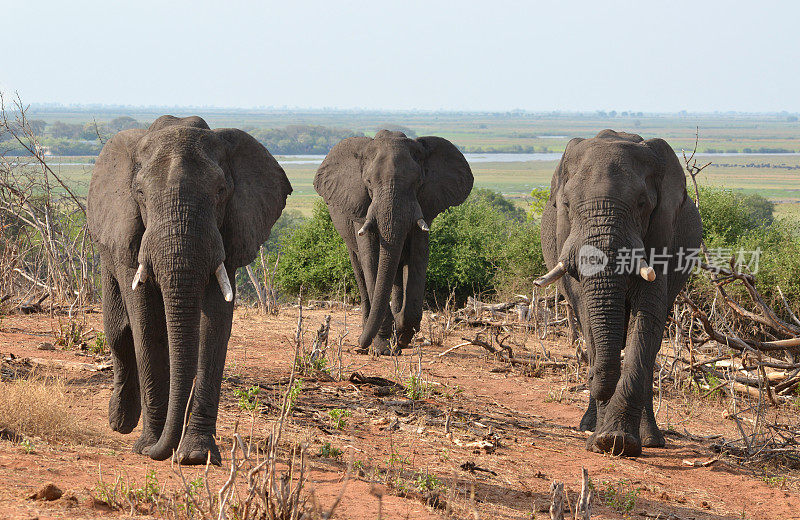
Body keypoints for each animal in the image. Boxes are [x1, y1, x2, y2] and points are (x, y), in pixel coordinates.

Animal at [86, 116, 290, 466]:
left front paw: (195, 455)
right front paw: (147, 447)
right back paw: (121, 422)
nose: (161, 452)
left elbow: (216, 323)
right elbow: (145, 321)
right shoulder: (130, 235)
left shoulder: (228, 234)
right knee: (118, 332)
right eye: (140, 194)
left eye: (221, 191)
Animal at [314, 132, 476, 356]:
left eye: (418, 182)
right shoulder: (361, 207)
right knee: (360, 270)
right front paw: (383, 348)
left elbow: (419, 257)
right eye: (368, 182)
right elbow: (371, 259)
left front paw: (400, 334)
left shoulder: (424, 206)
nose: (359, 344)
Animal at [536, 129, 700, 456]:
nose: (596, 383)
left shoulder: (662, 234)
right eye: (567, 205)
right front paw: (600, 439)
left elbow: (648, 316)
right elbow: (589, 315)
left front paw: (617, 441)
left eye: (641, 204)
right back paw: (589, 425)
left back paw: (649, 439)